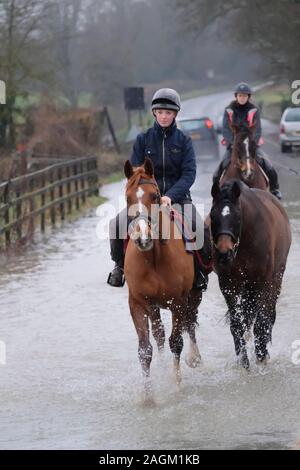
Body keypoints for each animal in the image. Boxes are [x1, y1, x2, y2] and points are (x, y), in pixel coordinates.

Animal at [123, 158, 203, 400]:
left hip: (193, 296)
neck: (154, 258)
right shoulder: (137, 304)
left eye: (155, 196)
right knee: (159, 335)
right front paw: (148, 396)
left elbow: (176, 341)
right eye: (127, 198)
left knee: (190, 323)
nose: (142, 237)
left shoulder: (178, 302)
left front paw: (176, 386)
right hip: (154, 306)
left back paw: (194, 358)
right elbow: (145, 349)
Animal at [209, 179, 290, 368]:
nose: (224, 253)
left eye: (237, 217)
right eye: (213, 216)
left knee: (267, 315)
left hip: (275, 279)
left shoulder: (261, 282)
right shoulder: (229, 284)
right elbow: (237, 324)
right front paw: (243, 361)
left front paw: (261, 356)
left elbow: (261, 321)